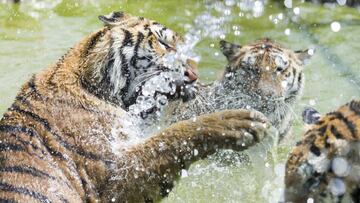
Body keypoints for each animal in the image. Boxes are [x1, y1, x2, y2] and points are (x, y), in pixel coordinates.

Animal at [0, 11, 270, 203]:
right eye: (164, 43)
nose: (194, 76)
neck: (89, 83)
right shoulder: (113, 182)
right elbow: (170, 138)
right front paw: (239, 121)